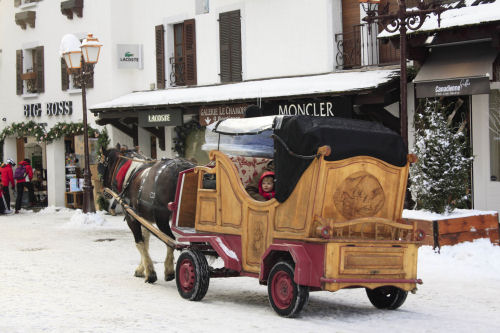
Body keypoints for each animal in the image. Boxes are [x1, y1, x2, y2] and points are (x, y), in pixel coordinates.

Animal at [99, 147, 195, 282]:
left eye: (101, 164)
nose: (104, 192)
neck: (130, 174)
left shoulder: (132, 217)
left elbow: (139, 242)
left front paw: (150, 273)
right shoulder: (145, 218)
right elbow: (146, 242)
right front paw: (142, 268)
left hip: (162, 219)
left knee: (170, 241)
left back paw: (169, 270)